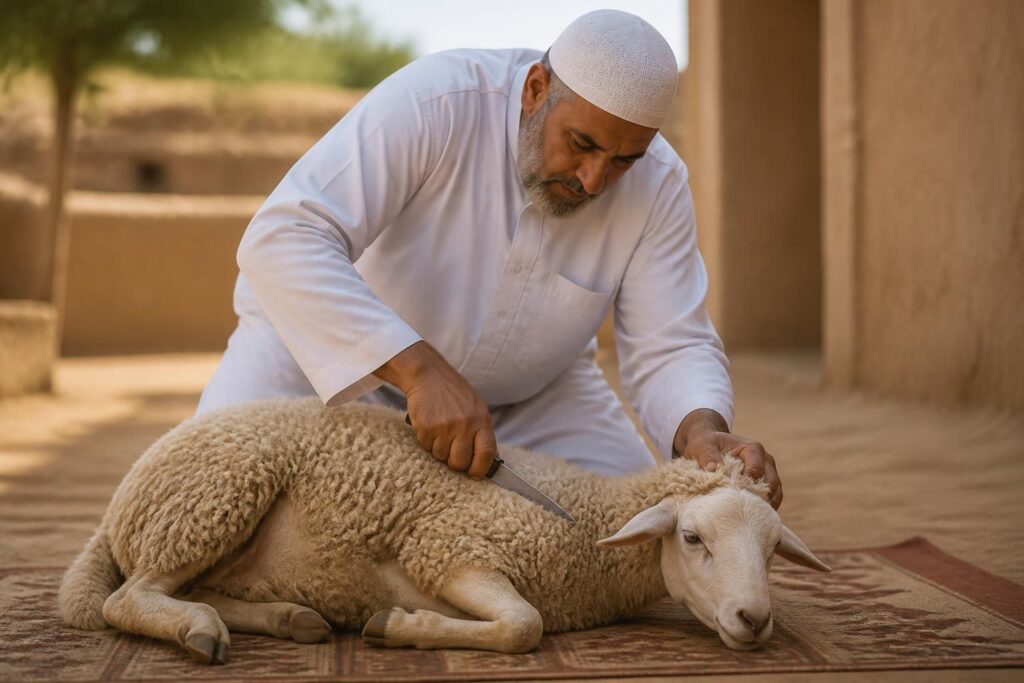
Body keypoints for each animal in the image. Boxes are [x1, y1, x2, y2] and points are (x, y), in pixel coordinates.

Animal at [58, 397, 830, 664]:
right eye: (694, 539)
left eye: (772, 549)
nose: (753, 619)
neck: (585, 519)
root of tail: (118, 504)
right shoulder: (450, 547)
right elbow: (523, 626)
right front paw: (400, 626)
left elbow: (521, 623)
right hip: (213, 494)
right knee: (127, 599)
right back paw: (200, 632)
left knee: (198, 590)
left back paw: (287, 617)